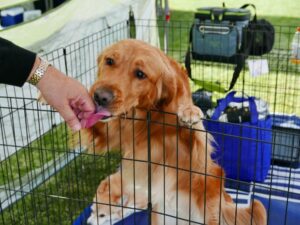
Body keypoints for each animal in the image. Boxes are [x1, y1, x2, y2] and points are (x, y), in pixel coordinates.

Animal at [83, 39, 266, 224]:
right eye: (109, 61)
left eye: (140, 74)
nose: (100, 97)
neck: (149, 116)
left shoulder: (195, 152)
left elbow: (193, 128)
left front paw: (189, 110)